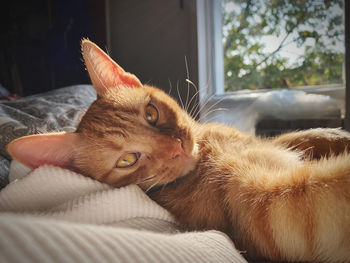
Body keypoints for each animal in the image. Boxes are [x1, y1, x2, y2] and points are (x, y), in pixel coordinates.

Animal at [6, 39, 350, 263]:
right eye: (127, 160)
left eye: (151, 113)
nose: (177, 147)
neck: (207, 149)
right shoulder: (271, 208)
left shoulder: (263, 143)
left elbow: (297, 136)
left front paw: (333, 133)